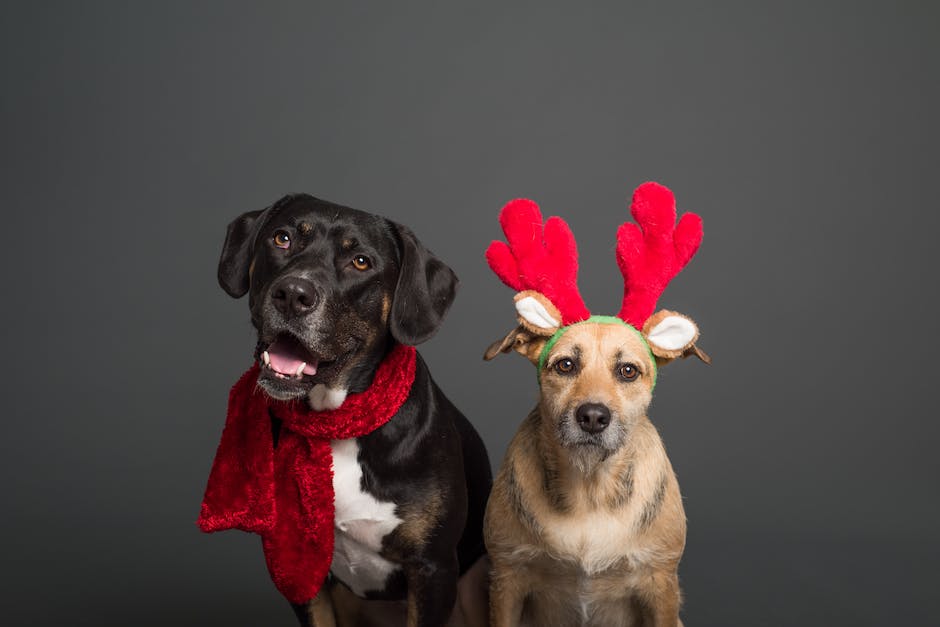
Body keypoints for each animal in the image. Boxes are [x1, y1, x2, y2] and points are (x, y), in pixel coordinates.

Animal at [216, 193, 488, 627]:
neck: (337, 421)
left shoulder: (433, 570)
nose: (293, 294)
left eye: (360, 261)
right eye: (282, 238)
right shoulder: (299, 567)